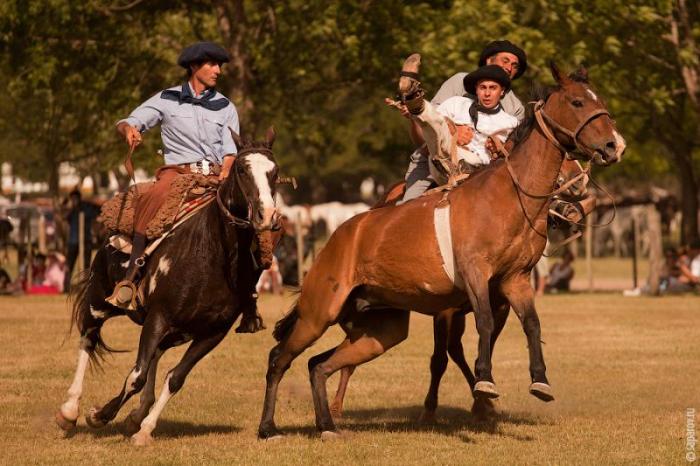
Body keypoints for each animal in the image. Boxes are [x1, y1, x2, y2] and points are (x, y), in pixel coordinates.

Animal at [55, 127, 278, 444]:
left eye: (274, 171)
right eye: (242, 170)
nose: (266, 215)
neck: (212, 253)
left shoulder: (212, 333)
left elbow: (175, 378)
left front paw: (144, 428)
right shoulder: (159, 317)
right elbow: (136, 376)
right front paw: (100, 415)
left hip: (175, 331)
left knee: (154, 356)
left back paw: (136, 415)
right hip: (99, 300)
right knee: (88, 339)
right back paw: (70, 411)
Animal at [258, 63, 624, 438]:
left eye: (599, 99)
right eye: (577, 101)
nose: (614, 145)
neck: (510, 196)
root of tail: (339, 237)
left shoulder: (516, 280)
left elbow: (532, 325)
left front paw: (539, 382)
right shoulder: (474, 276)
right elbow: (480, 326)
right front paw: (484, 385)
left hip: (378, 331)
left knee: (318, 364)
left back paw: (327, 425)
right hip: (318, 314)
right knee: (279, 358)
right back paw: (269, 427)